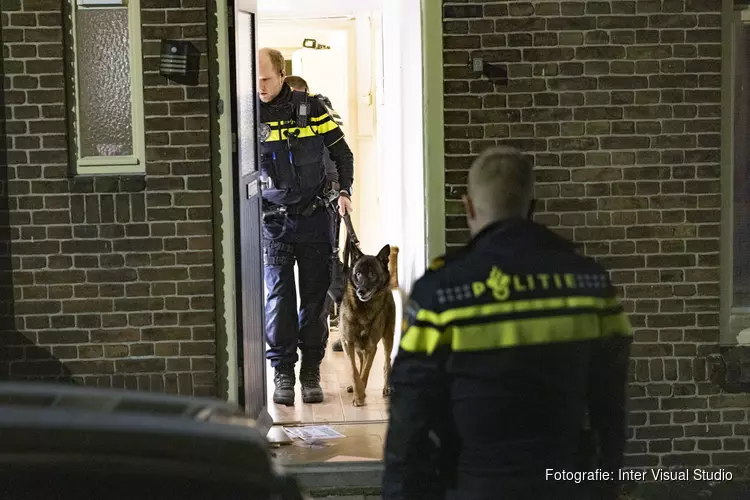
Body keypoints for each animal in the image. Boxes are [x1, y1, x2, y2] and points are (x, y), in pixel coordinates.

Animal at [340, 244, 400, 408]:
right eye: (358, 274)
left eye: (372, 274)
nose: (361, 291)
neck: (362, 309)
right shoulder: (348, 343)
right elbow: (354, 371)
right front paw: (358, 391)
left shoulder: (372, 346)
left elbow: (365, 372)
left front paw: (360, 395)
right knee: (360, 362)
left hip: (388, 337)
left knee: (387, 362)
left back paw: (387, 387)